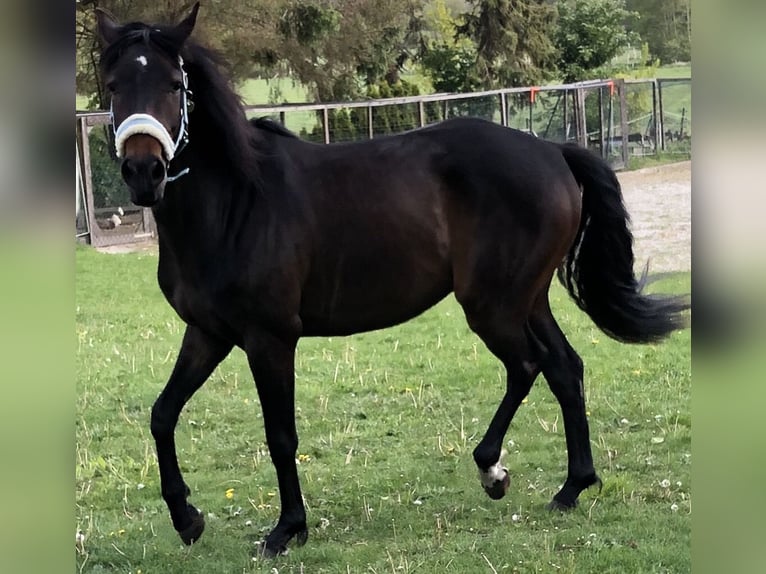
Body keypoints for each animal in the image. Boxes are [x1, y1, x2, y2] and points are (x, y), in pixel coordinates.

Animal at [95, 3, 689, 557]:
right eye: (114, 85)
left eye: (175, 85)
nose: (144, 172)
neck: (234, 205)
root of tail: (551, 151)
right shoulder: (208, 333)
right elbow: (162, 415)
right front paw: (187, 519)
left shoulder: (270, 339)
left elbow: (280, 435)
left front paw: (287, 529)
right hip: (527, 299)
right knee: (564, 367)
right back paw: (571, 487)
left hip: (493, 305)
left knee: (528, 366)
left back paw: (492, 470)